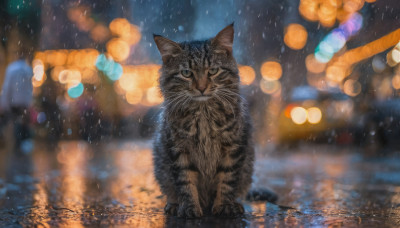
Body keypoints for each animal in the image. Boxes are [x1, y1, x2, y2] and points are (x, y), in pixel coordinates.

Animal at [152, 24, 276, 218]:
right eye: (186, 73)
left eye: (213, 71)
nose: (202, 88)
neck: (203, 114)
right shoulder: (178, 149)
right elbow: (185, 181)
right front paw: (189, 207)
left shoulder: (233, 146)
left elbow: (227, 179)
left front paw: (224, 205)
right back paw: (174, 204)